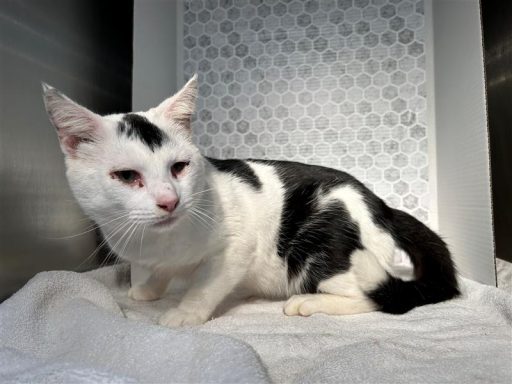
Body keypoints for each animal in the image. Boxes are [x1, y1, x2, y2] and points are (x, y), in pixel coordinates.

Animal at [43, 76, 460, 328]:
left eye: (179, 167)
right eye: (128, 176)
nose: (169, 201)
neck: (163, 241)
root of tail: (382, 206)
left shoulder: (235, 248)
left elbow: (206, 285)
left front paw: (184, 313)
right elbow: (156, 270)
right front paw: (148, 288)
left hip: (318, 245)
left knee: (381, 298)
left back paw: (309, 303)